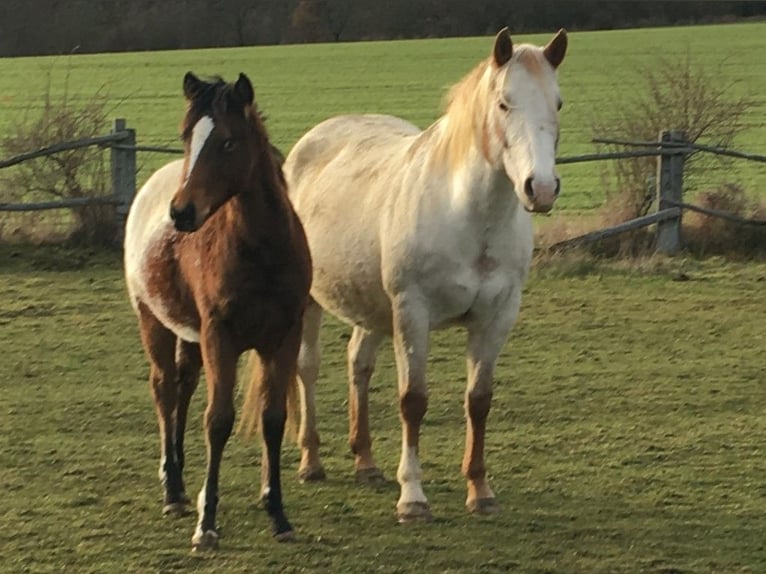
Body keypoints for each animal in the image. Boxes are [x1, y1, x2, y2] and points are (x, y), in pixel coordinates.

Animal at [124, 73, 310, 552]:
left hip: (189, 334)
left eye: (228, 142)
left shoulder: (284, 337)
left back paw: (180, 476)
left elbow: (273, 419)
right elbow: (218, 420)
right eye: (187, 136)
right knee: (164, 388)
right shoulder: (219, 336)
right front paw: (206, 523)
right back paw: (173, 490)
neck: (261, 253)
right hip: (153, 322)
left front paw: (278, 513)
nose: (181, 211)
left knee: (183, 386)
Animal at [284, 27, 568, 520]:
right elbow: (413, 402)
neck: (467, 215)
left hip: (373, 309)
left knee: (358, 363)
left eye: (558, 103)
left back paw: (365, 462)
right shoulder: (412, 313)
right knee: (308, 368)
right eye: (504, 103)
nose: (542, 188)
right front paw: (412, 497)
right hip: (313, 302)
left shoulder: (497, 317)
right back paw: (311, 462)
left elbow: (479, 401)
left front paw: (480, 490)